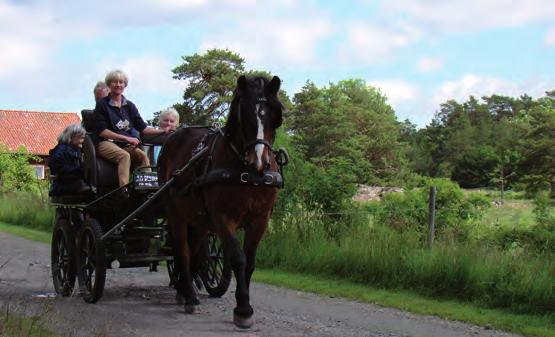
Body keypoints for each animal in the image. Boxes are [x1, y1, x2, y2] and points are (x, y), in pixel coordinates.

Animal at [157, 75, 284, 326]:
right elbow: (237, 258)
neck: (247, 174)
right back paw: (190, 298)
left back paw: (183, 291)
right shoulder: (223, 218)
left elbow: (250, 262)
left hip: (199, 221)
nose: (259, 162)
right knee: (183, 251)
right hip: (176, 214)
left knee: (194, 250)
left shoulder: (260, 219)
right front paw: (243, 309)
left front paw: (244, 305)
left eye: (275, 117)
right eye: (244, 115)